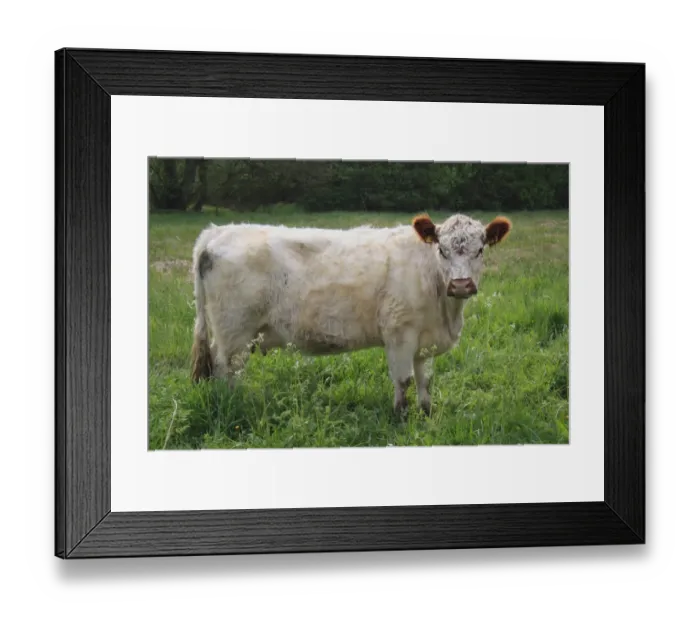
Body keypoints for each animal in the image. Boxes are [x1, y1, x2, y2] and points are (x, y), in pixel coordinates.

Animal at [190, 212, 512, 416]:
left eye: (480, 250)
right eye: (442, 250)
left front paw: (426, 413)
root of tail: (220, 231)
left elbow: (425, 380)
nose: (461, 284)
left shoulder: (425, 339)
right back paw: (233, 404)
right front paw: (400, 417)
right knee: (226, 369)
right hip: (234, 333)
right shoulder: (399, 333)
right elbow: (403, 379)